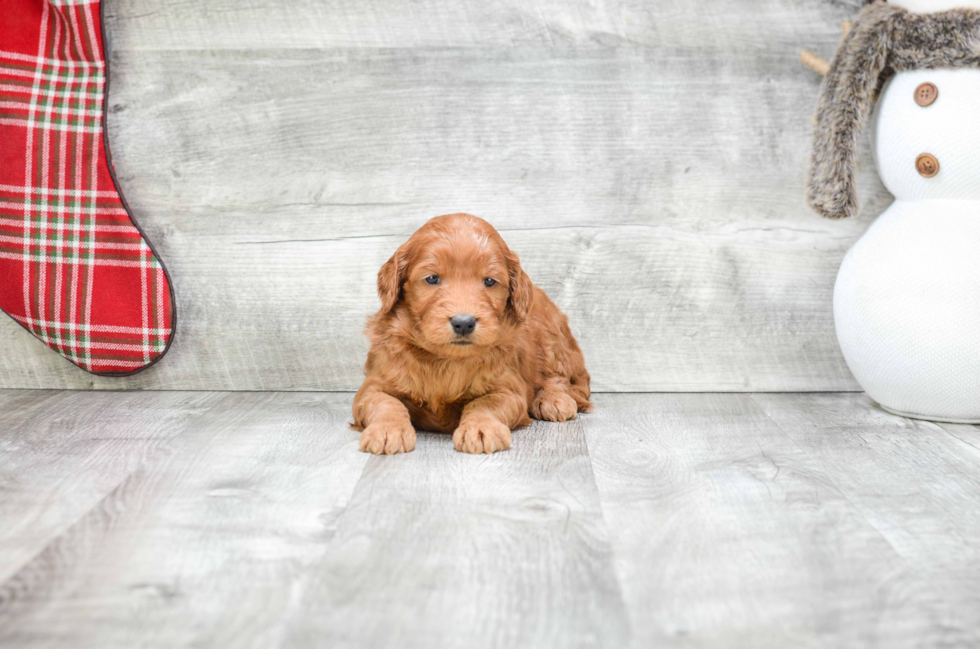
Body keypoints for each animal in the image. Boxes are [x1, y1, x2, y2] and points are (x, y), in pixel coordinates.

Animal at [352, 214, 588, 456]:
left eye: (489, 281)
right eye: (432, 279)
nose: (464, 323)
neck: (446, 360)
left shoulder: (508, 389)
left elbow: (485, 403)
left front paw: (481, 429)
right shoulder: (374, 384)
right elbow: (384, 402)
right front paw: (387, 429)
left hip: (550, 333)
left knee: (559, 377)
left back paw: (554, 400)